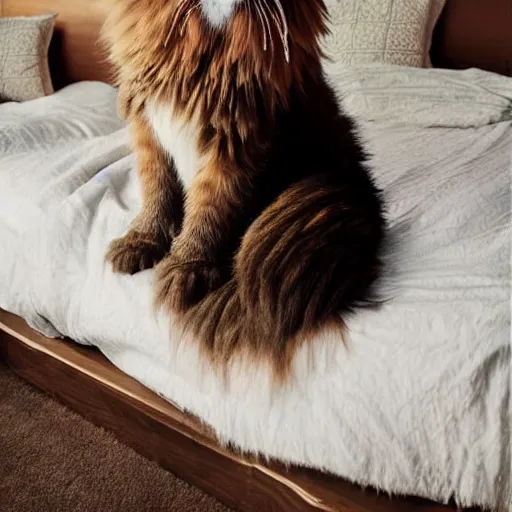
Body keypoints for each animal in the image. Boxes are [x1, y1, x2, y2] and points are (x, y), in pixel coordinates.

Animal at [103, 0, 384, 382]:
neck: (197, 50)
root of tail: (365, 194)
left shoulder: (236, 147)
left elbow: (208, 214)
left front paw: (185, 269)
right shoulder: (149, 131)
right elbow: (157, 195)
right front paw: (142, 242)